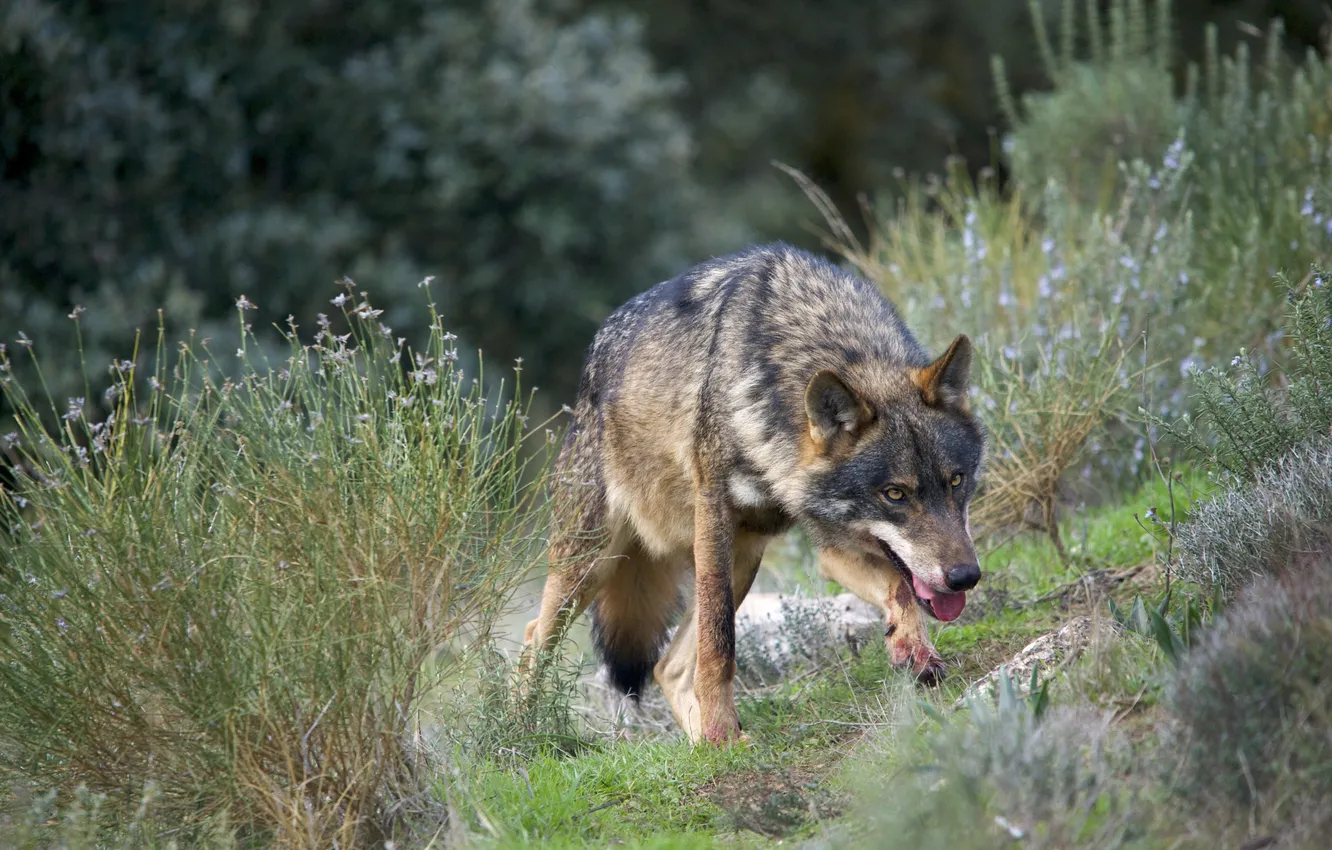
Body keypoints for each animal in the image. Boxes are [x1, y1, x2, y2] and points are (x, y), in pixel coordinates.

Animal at [520, 242, 987, 745]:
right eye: (895, 494)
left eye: (956, 481)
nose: (965, 577)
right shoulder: (714, 518)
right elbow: (719, 644)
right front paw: (722, 727)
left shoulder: (832, 544)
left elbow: (899, 588)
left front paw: (913, 650)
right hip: (592, 564)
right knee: (533, 640)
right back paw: (520, 734)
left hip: (743, 558)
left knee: (668, 667)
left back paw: (707, 747)